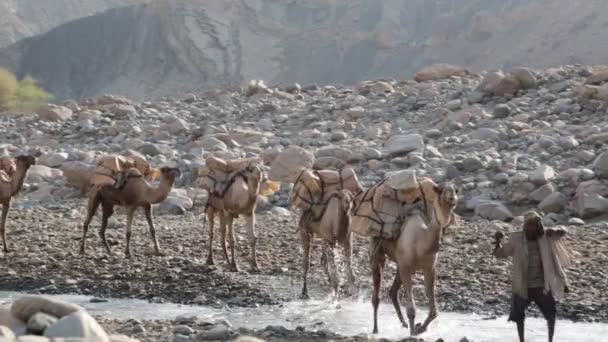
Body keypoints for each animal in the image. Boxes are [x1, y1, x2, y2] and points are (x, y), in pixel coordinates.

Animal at [364, 180, 458, 336]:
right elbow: (412, 309)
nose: (451, 195)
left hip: (400, 264)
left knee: (393, 291)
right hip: (377, 251)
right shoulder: (406, 267)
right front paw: (414, 332)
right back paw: (375, 329)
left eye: (456, 190)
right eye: (439, 190)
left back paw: (403, 324)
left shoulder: (429, 268)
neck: (421, 240)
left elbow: (434, 311)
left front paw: (420, 328)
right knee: (376, 294)